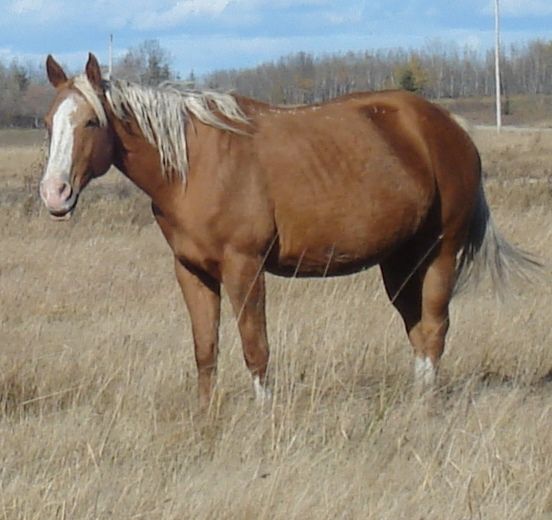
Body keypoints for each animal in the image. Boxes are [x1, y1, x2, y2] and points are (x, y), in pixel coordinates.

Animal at [40, 53, 537, 409]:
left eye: (91, 121)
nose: (54, 193)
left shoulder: (245, 267)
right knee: (416, 329)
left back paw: (427, 409)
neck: (194, 165)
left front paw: (264, 418)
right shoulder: (191, 271)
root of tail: (451, 128)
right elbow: (206, 352)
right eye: (47, 124)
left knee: (434, 328)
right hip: (399, 261)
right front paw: (206, 421)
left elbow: (254, 348)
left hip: (440, 252)